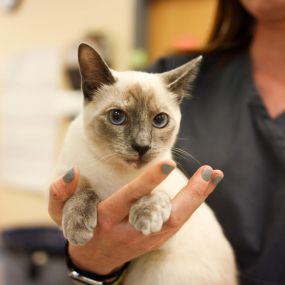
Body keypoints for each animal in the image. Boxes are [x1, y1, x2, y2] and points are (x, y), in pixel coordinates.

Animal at [56, 43, 237, 284]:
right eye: (117, 117)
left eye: (160, 120)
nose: (142, 147)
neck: (119, 179)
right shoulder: (67, 174)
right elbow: (82, 192)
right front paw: (79, 230)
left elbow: (156, 192)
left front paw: (146, 218)